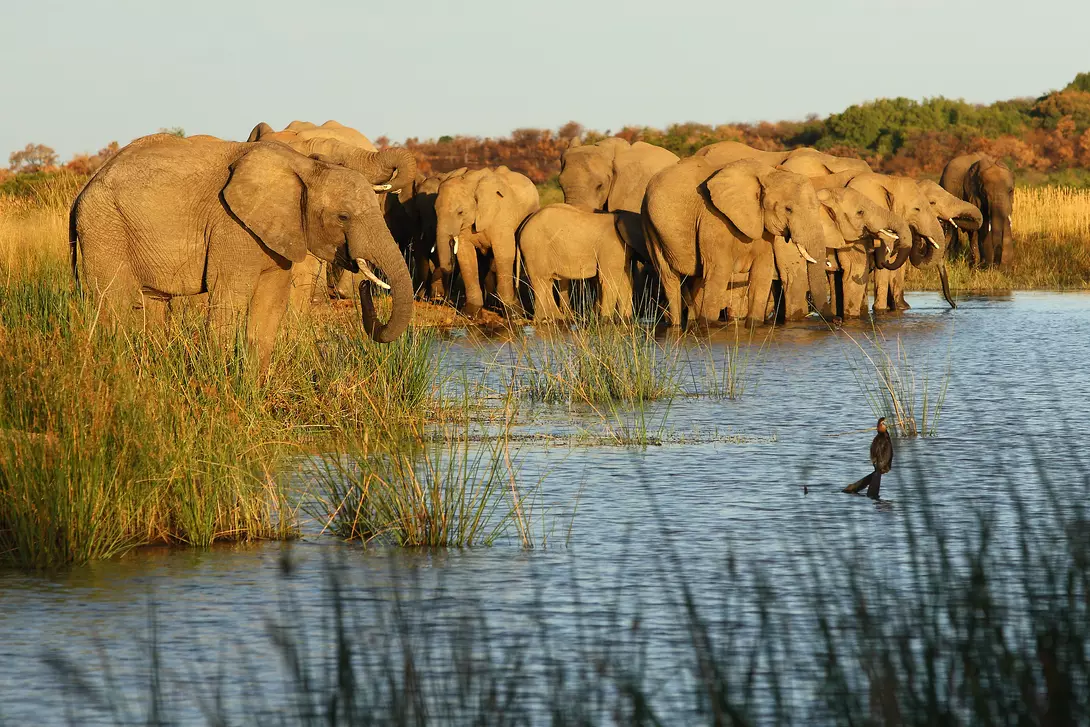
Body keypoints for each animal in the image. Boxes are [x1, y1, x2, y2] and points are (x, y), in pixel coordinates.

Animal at [70, 134, 413, 372]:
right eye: (343, 217)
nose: (365, 283)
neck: (302, 166)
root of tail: (82, 192)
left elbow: (270, 305)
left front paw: (253, 392)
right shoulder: (231, 226)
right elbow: (229, 299)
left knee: (152, 306)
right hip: (104, 228)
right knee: (113, 305)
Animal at [434, 166, 540, 316]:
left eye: (460, 212)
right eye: (435, 210)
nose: (442, 298)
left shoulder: (501, 216)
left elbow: (504, 253)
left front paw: (514, 314)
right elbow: (465, 255)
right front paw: (470, 314)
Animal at [644, 157, 829, 328]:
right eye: (788, 209)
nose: (834, 320)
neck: (767, 174)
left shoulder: (762, 226)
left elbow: (762, 271)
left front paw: (753, 326)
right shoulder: (713, 218)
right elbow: (719, 271)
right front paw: (708, 327)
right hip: (650, 227)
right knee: (669, 278)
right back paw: (676, 326)